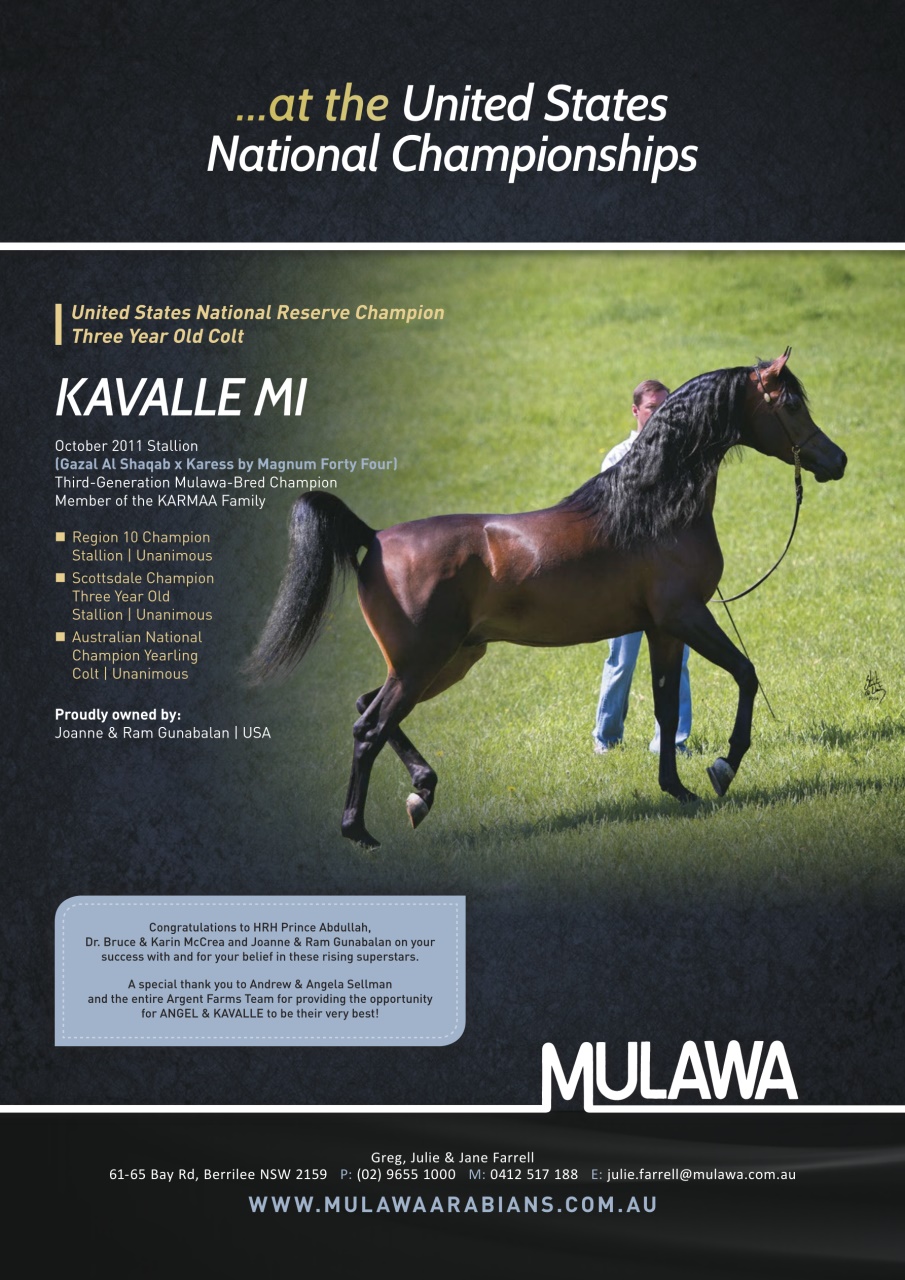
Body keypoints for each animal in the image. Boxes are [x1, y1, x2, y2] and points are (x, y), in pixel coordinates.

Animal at [247, 351, 847, 848]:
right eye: (791, 403)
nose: (836, 460)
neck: (652, 507)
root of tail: (373, 539)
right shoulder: (686, 617)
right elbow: (746, 674)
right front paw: (724, 766)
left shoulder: (663, 629)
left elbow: (664, 705)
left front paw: (678, 791)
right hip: (423, 664)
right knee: (367, 728)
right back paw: (361, 832)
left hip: (447, 660)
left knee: (366, 706)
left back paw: (422, 791)